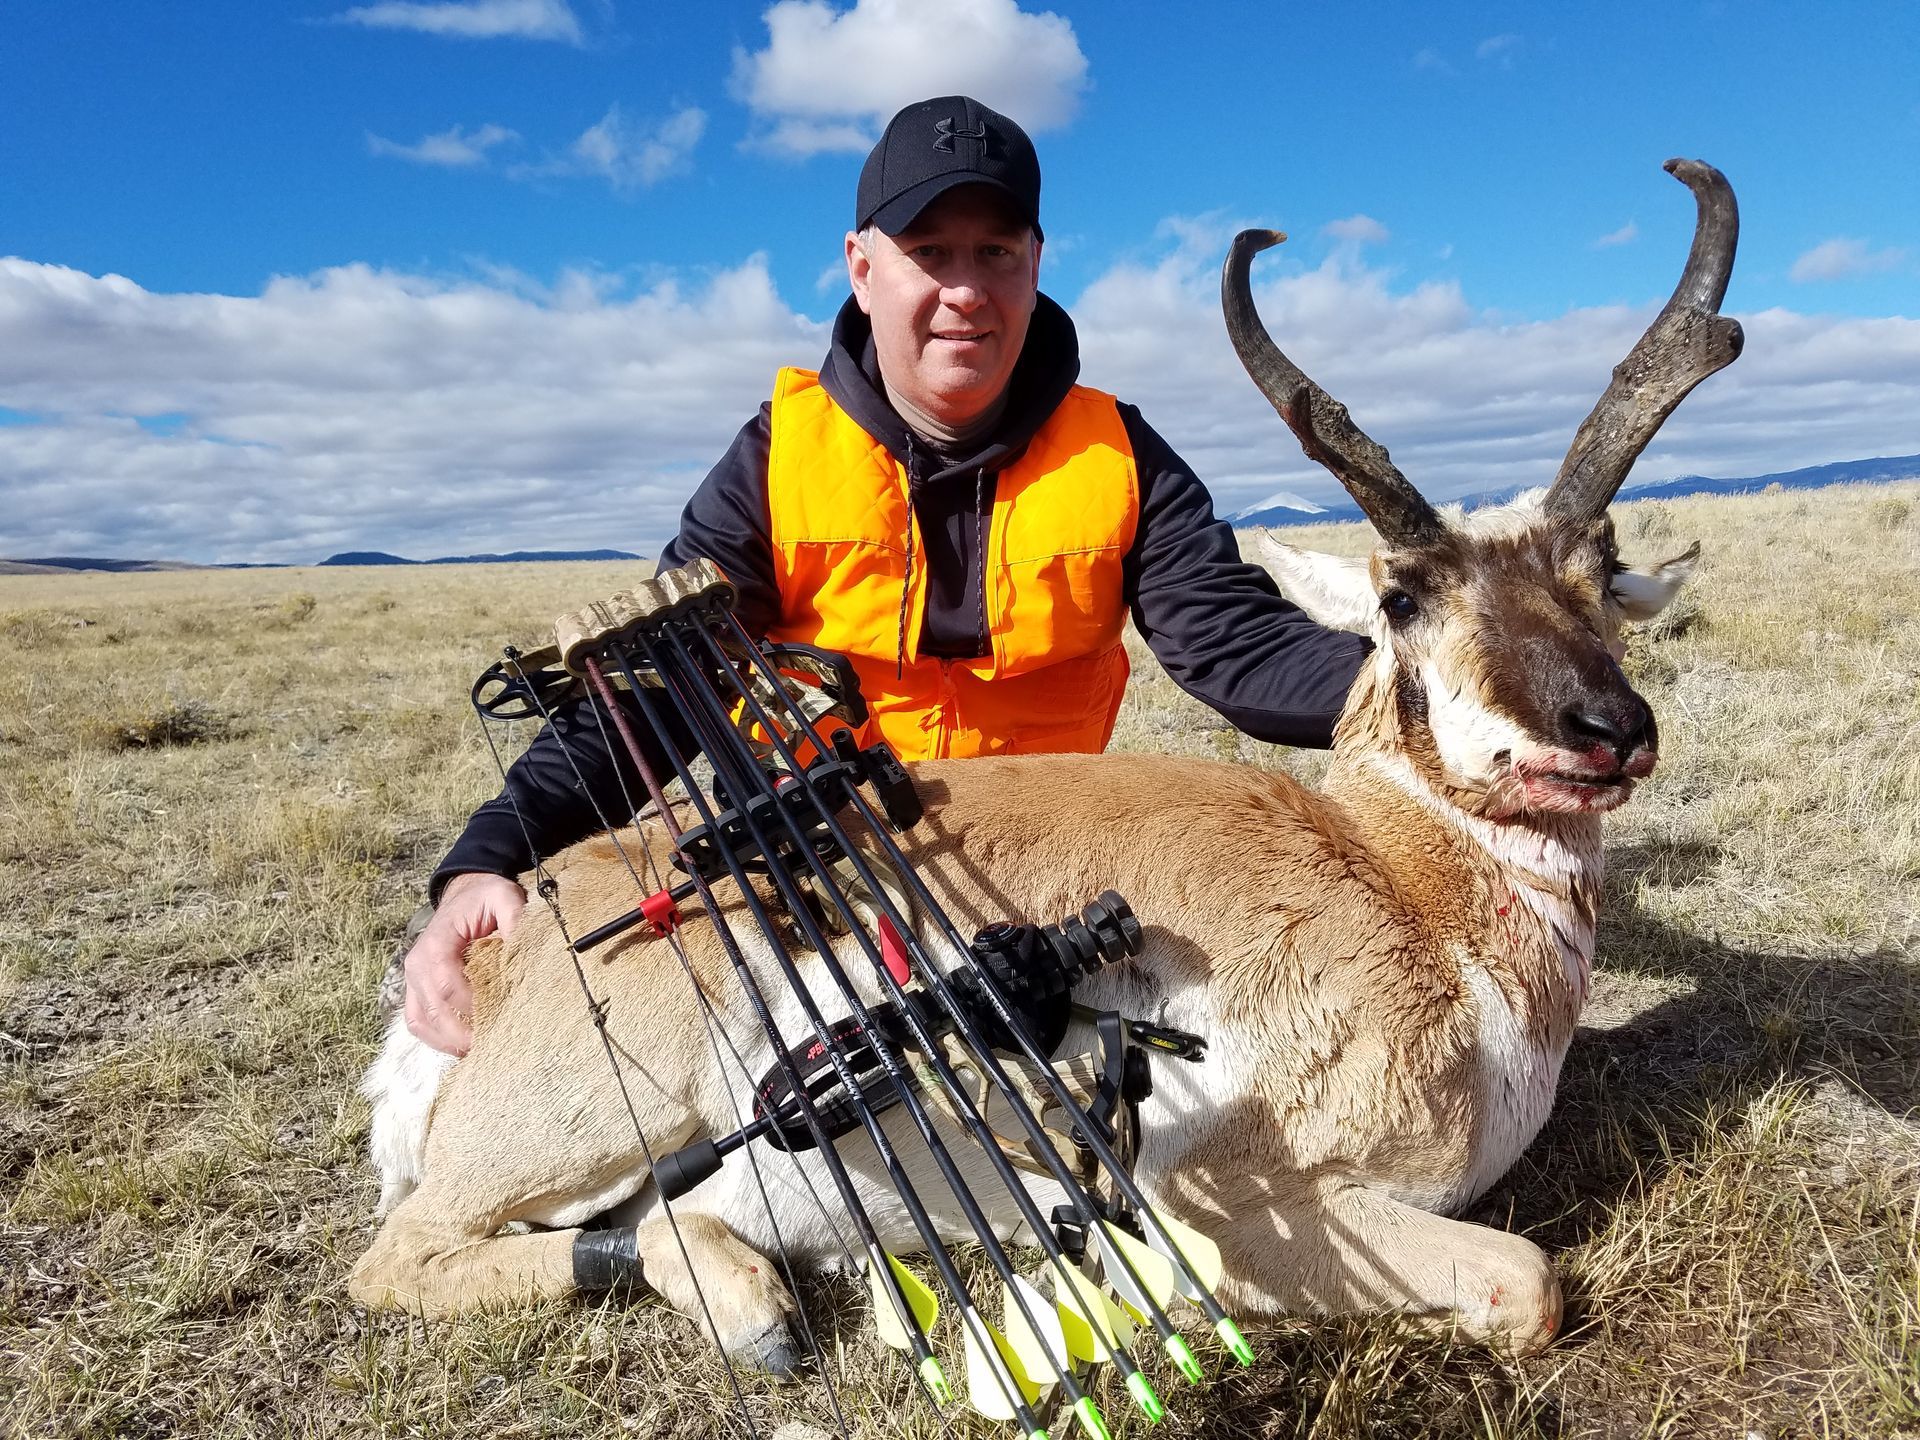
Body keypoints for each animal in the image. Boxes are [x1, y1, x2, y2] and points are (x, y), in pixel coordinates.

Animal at [350, 160, 1740, 1372]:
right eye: (1402, 597)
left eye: (1604, 573)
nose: (1605, 729)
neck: (1405, 889)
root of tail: (513, 929)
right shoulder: (1235, 1204)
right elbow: (1529, 1277)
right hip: (581, 1125)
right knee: (404, 1257)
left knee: (642, 1225)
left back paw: (759, 1304)